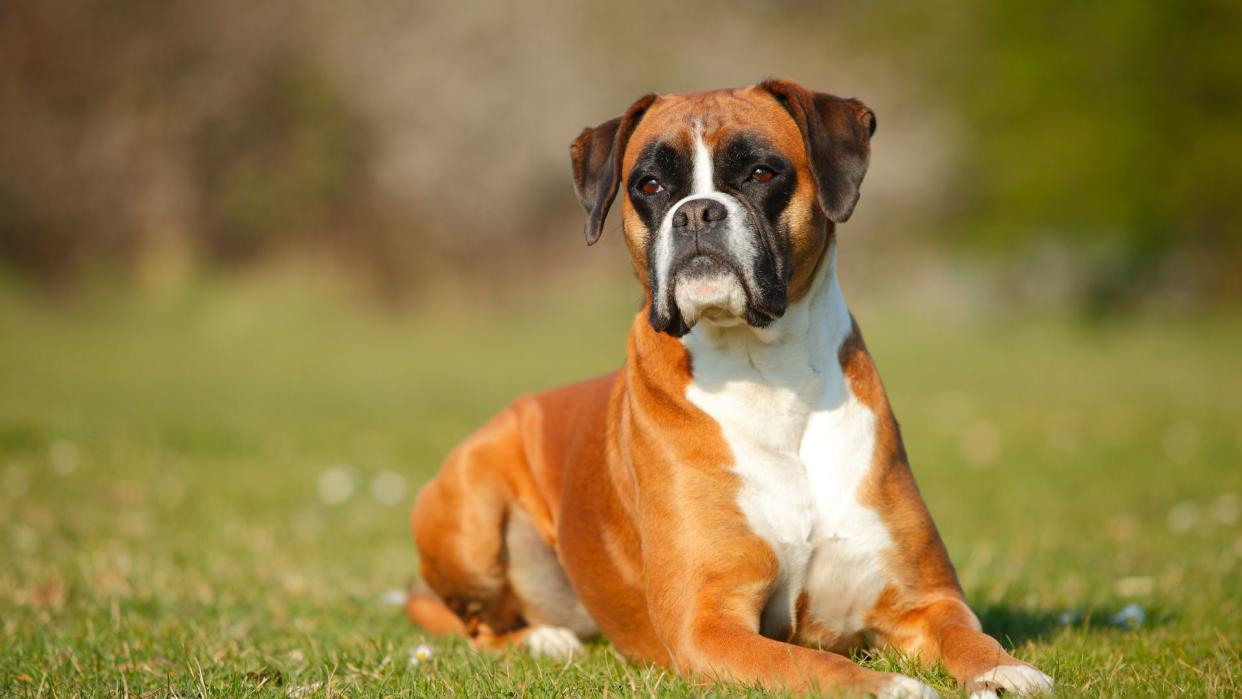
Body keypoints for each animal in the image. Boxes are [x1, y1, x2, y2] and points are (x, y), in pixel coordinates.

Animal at [412, 79, 1053, 695]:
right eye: (649, 184)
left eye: (761, 173)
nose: (697, 212)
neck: (765, 372)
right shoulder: (708, 624)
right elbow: (809, 664)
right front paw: (891, 686)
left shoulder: (925, 600)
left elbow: (965, 635)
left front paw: (1007, 669)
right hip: (470, 507)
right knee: (481, 629)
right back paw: (546, 641)